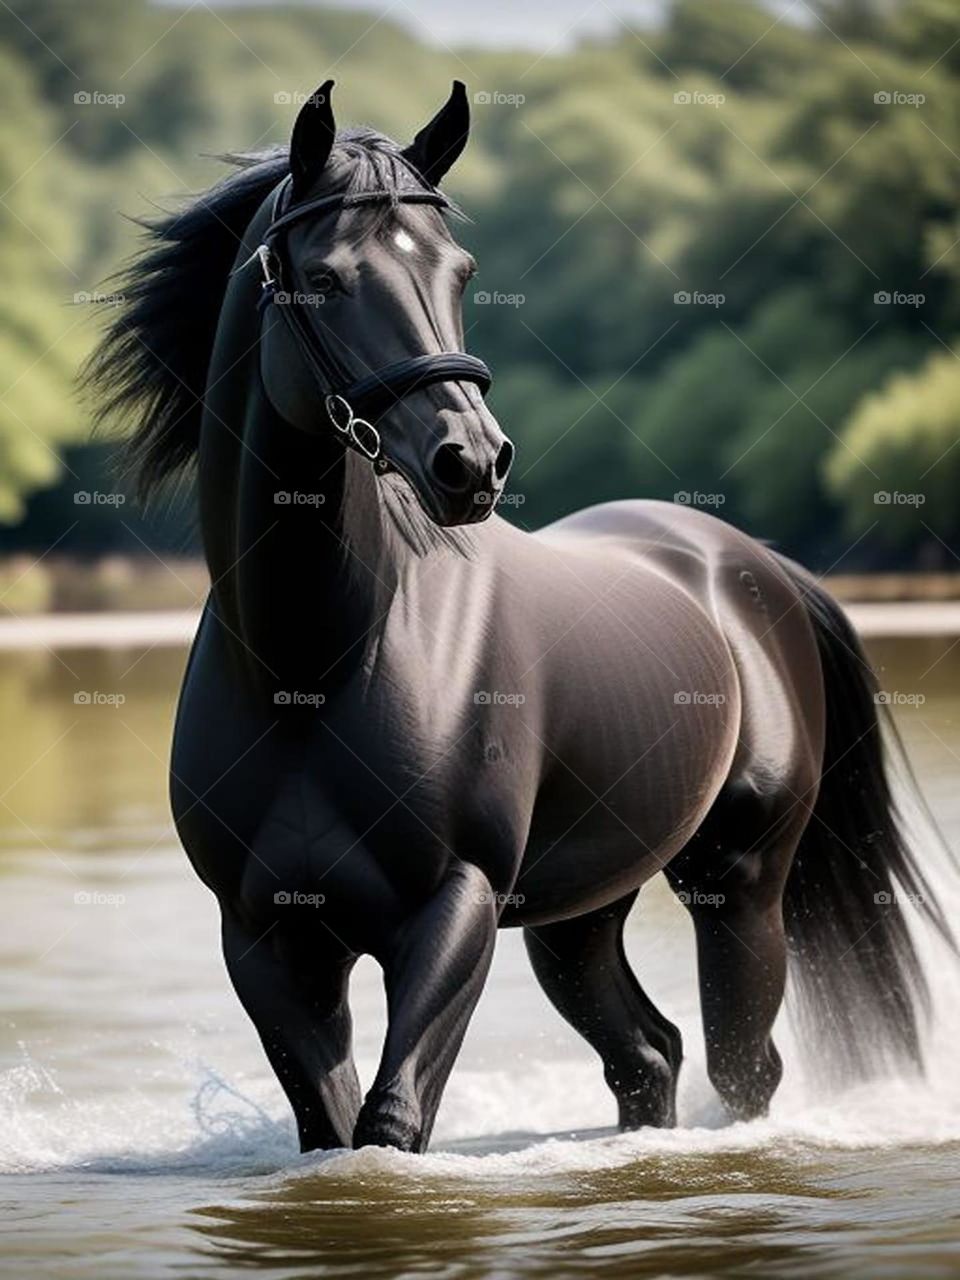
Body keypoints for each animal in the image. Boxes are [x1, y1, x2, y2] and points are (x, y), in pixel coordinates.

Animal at [87, 80, 950, 1154]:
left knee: (742, 1068)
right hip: (578, 916)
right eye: (322, 278)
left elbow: (392, 1119)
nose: (471, 462)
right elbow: (332, 1124)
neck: (313, 670)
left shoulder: (453, 907)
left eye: (460, 270)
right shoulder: (268, 939)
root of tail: (751, 566)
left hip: (740, 884)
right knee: (648, 1054)